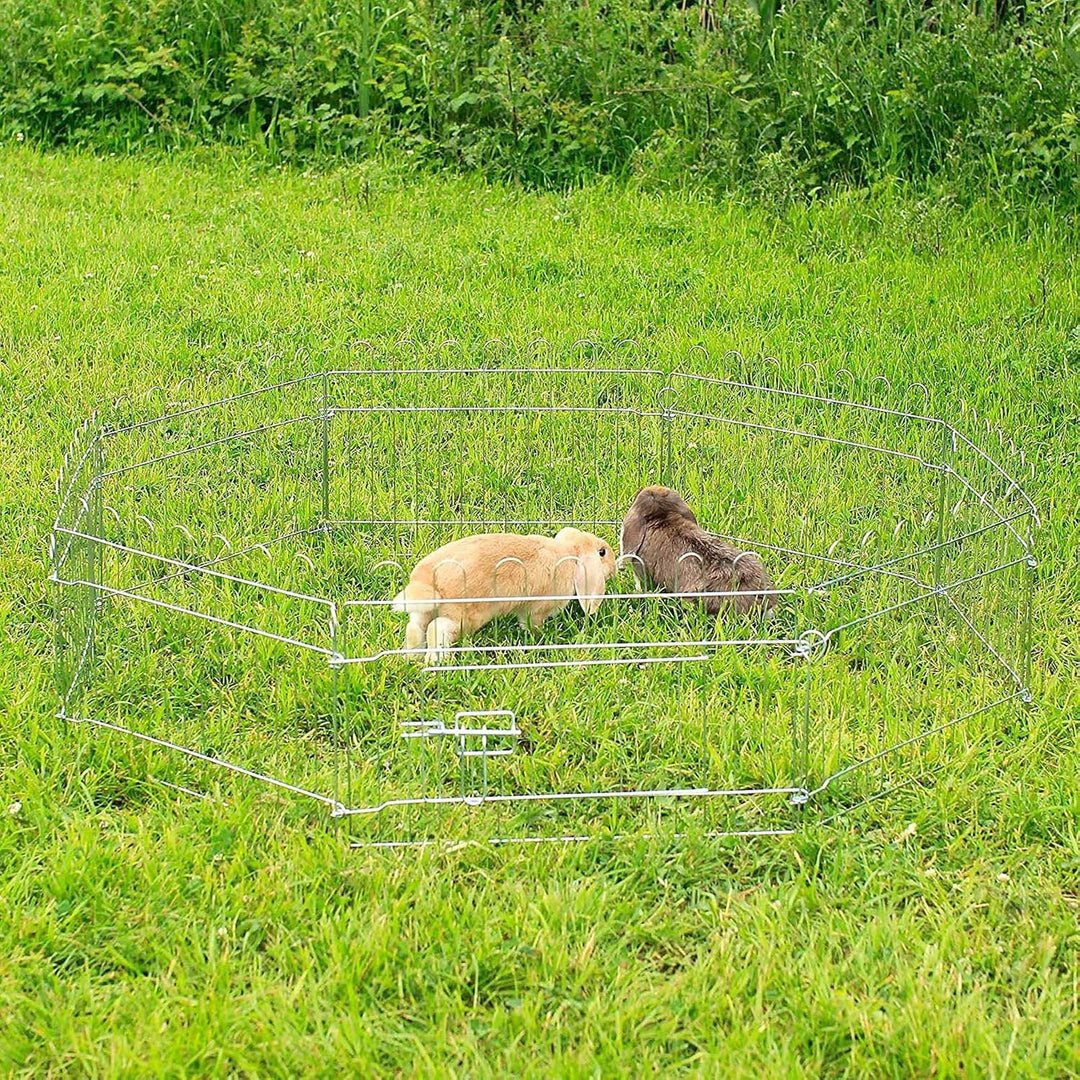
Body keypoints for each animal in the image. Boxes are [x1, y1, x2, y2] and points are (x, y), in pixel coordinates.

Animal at [392, 527, 617, 665]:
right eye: (602, 552)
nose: (614, 568)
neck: (569, 553)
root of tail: (430, 582)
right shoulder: (537, 609)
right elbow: (531, 622)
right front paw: (538, 635)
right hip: (466, 616)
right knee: (437, 628)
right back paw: (436, 661)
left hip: (428, 612)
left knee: (415, 627)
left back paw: (412, 659)